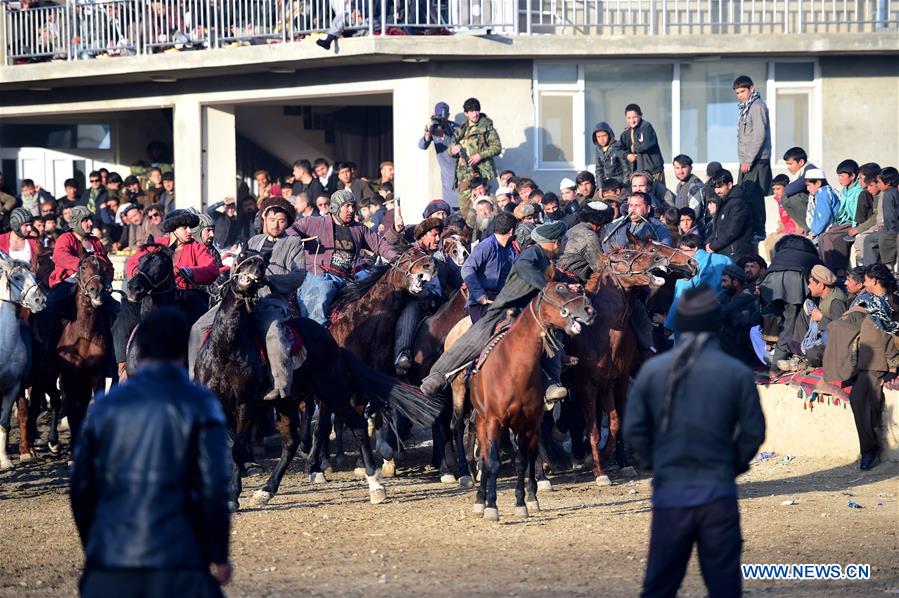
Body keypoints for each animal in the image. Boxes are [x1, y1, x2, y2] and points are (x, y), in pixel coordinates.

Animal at [472, 284, 596, 524]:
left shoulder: (528, 423)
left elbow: (522, 461)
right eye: (559, 289)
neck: (513, 368)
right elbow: (492, 462)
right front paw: (491, 506)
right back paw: (480, 501)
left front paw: (523, 502)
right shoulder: (494, 421)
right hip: (482, 420)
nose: (589, 310)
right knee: (484, 457)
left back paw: (531, 496)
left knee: (528, 456)